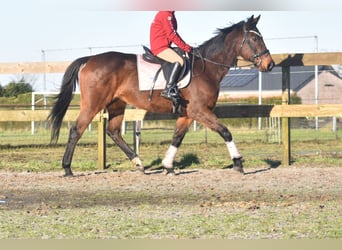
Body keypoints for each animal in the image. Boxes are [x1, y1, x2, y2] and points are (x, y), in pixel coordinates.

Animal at [48, 15, 276, 176]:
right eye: (255, 38)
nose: (270, 64)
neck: (207, 68)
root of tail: (90, 59)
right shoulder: (199, 110)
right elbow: (225, 131)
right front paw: (238, 162)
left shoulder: (187, 113)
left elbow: (177, 137)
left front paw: (168, 166)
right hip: (94, 103)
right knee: (77, 130)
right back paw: (67, 168)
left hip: (116, 104)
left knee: (113, 132)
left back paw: (139, 163)